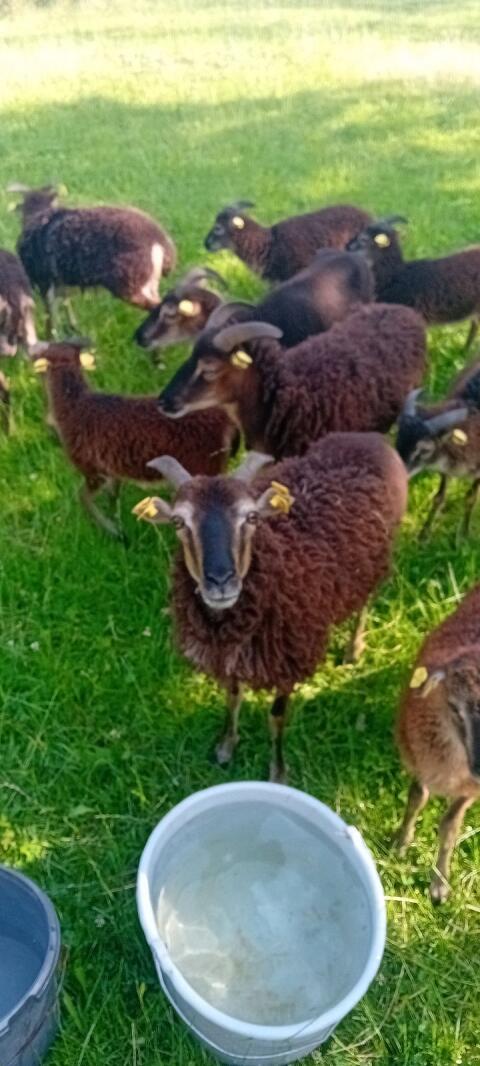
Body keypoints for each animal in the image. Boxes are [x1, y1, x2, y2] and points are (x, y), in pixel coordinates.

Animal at [9, 183, 176, 335]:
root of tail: (161, 242)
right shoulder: (61, 283)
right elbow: (65, 304)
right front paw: (73, 328)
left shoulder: (43, 282)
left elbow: (50, 317)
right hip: (149, 283)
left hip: (130, 282)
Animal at [31, 337, 238, 539]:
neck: (74, 407)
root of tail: (226, 419)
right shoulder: (112, 470)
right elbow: (113, 496)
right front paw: (118, 525)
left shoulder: (91, 469)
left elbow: (83, 498)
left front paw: (113, 531)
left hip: (204, 465)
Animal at [134, 432, 407, 780]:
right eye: (179, 522)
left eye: (251, 517)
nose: (220, 580)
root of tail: (367, 437)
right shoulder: (231, 657)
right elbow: (233, 697)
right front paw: (226, 746)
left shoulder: (291, 656)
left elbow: (276, 717)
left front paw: (278, 771)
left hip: (377, 560)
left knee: (364, 604)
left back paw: (353, 649)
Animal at [394, 583, 480, 903]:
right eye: (454, 707)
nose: (479, 768)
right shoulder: (418, 762)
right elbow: (416, 799)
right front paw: (400, 844)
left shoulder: (471, 790)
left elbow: (449, 826)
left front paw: (440, 885)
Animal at [396, 361, 480, 539]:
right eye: (398, 439)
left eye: (425, 449)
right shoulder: (445, 468)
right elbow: (439, 497)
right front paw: (423, 535)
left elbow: (471, 497)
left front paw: (464, 535)